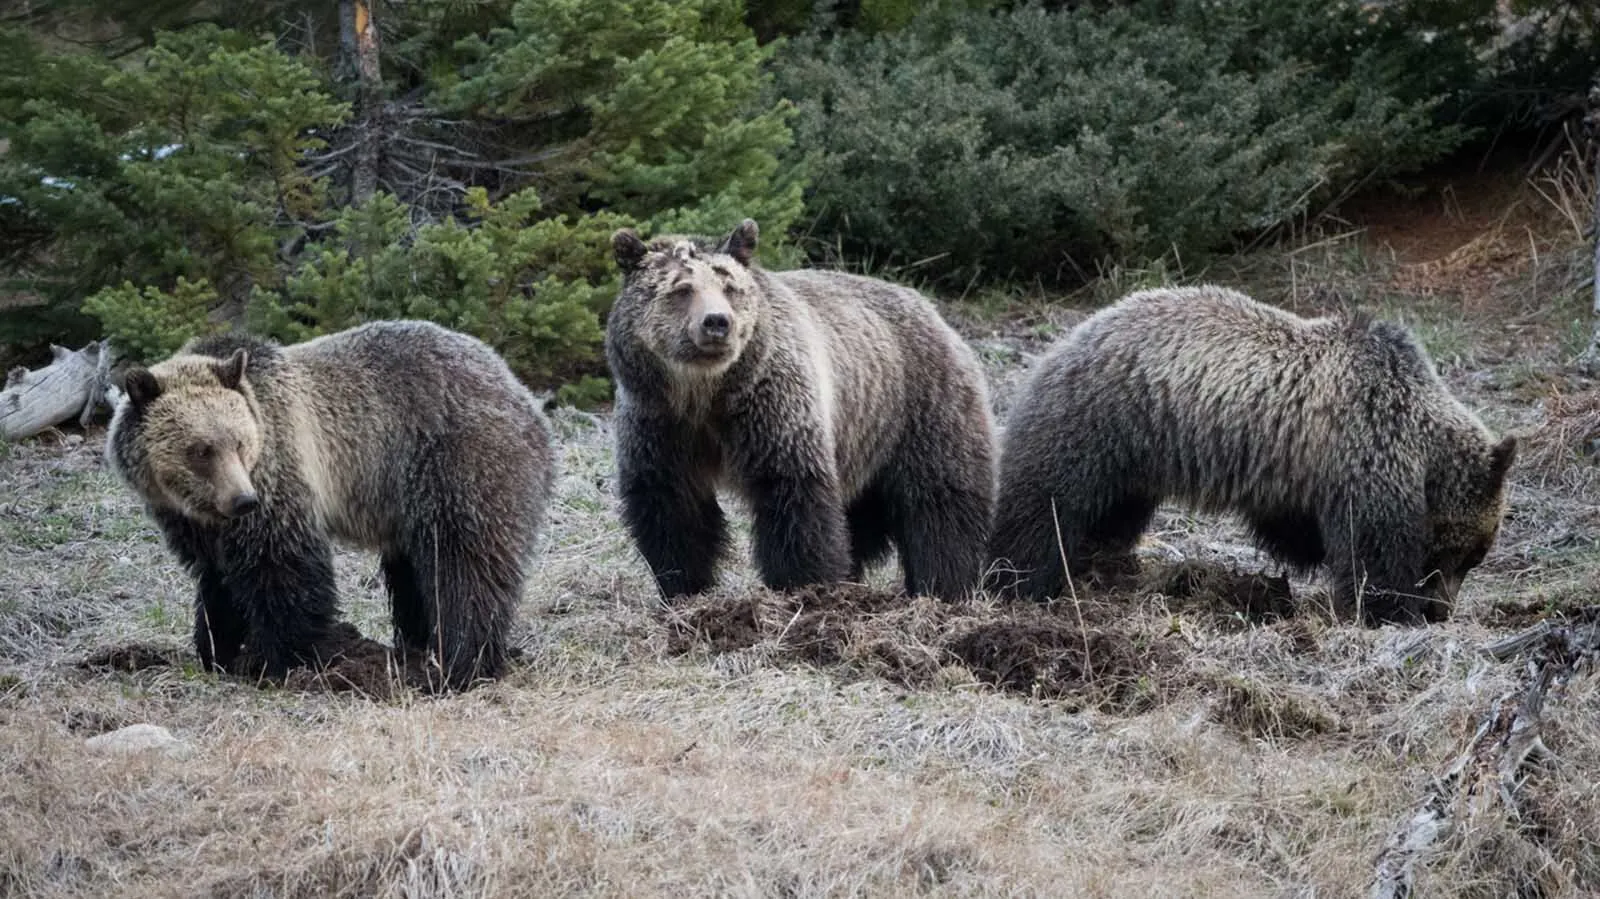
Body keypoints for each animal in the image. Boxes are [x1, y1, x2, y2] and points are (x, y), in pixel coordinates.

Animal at [106, 320, 556, 691]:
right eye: (201, 450)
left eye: (239, 442)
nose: (243, 500)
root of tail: (522, 394)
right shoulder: (191, 521)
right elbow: (217, 579)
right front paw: (217, 648)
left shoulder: (281, 472)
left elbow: (283, 567)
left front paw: (279, 659)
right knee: (413, 571)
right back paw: (417, 647)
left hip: (456, 461)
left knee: (463, 563)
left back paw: (461, 661)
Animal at [605, 218, 997, 602]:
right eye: (681, 289)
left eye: (729, 287)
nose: (717, 322)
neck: (705, 393)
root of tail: (932, 310)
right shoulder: (660, 422)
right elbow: (671, 504)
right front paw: (684, 586)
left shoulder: (769, 407)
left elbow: (793, 493)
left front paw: (805, 586)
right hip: (864, 437)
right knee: (862, 517)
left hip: (919, 404)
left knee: (939, 501)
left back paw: (943, 585)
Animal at [986, 285, 1516, 625]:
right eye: (1465, 555)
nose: (1442, 611)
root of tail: (1061, 343)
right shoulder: (1368, 448)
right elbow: (1374, 547)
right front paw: (1390, 609)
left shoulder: (1303, 468)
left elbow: (1296, 526)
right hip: (1097, 421)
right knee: (1043, 505)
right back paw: (1020, 578)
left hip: (1131, 463)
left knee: (1112, 514)